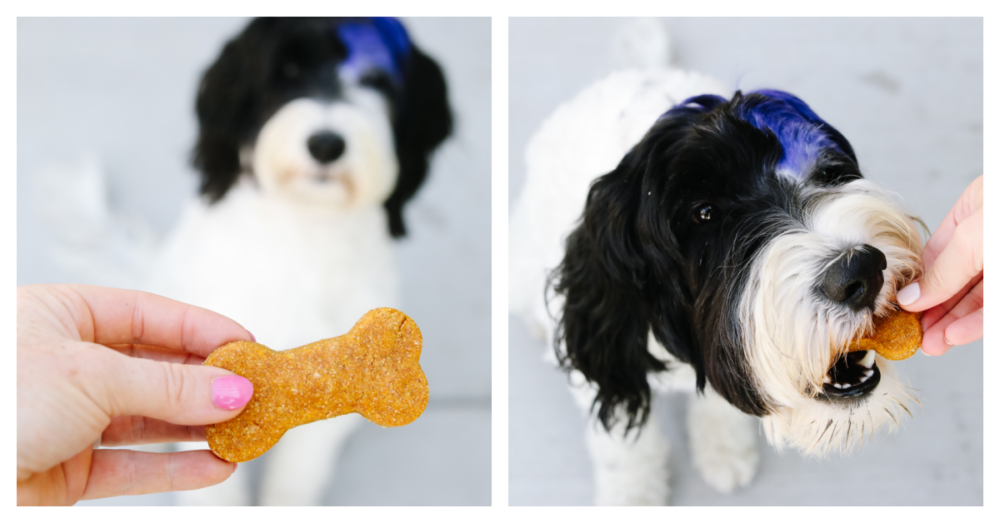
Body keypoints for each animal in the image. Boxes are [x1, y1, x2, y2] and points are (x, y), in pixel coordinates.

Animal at [512, 65, 924, 504]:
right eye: (705, 213)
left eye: (828, 172)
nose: (861, 272)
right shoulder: (606, 363)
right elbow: (625, 445)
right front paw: (633, 496)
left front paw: (724, 449)